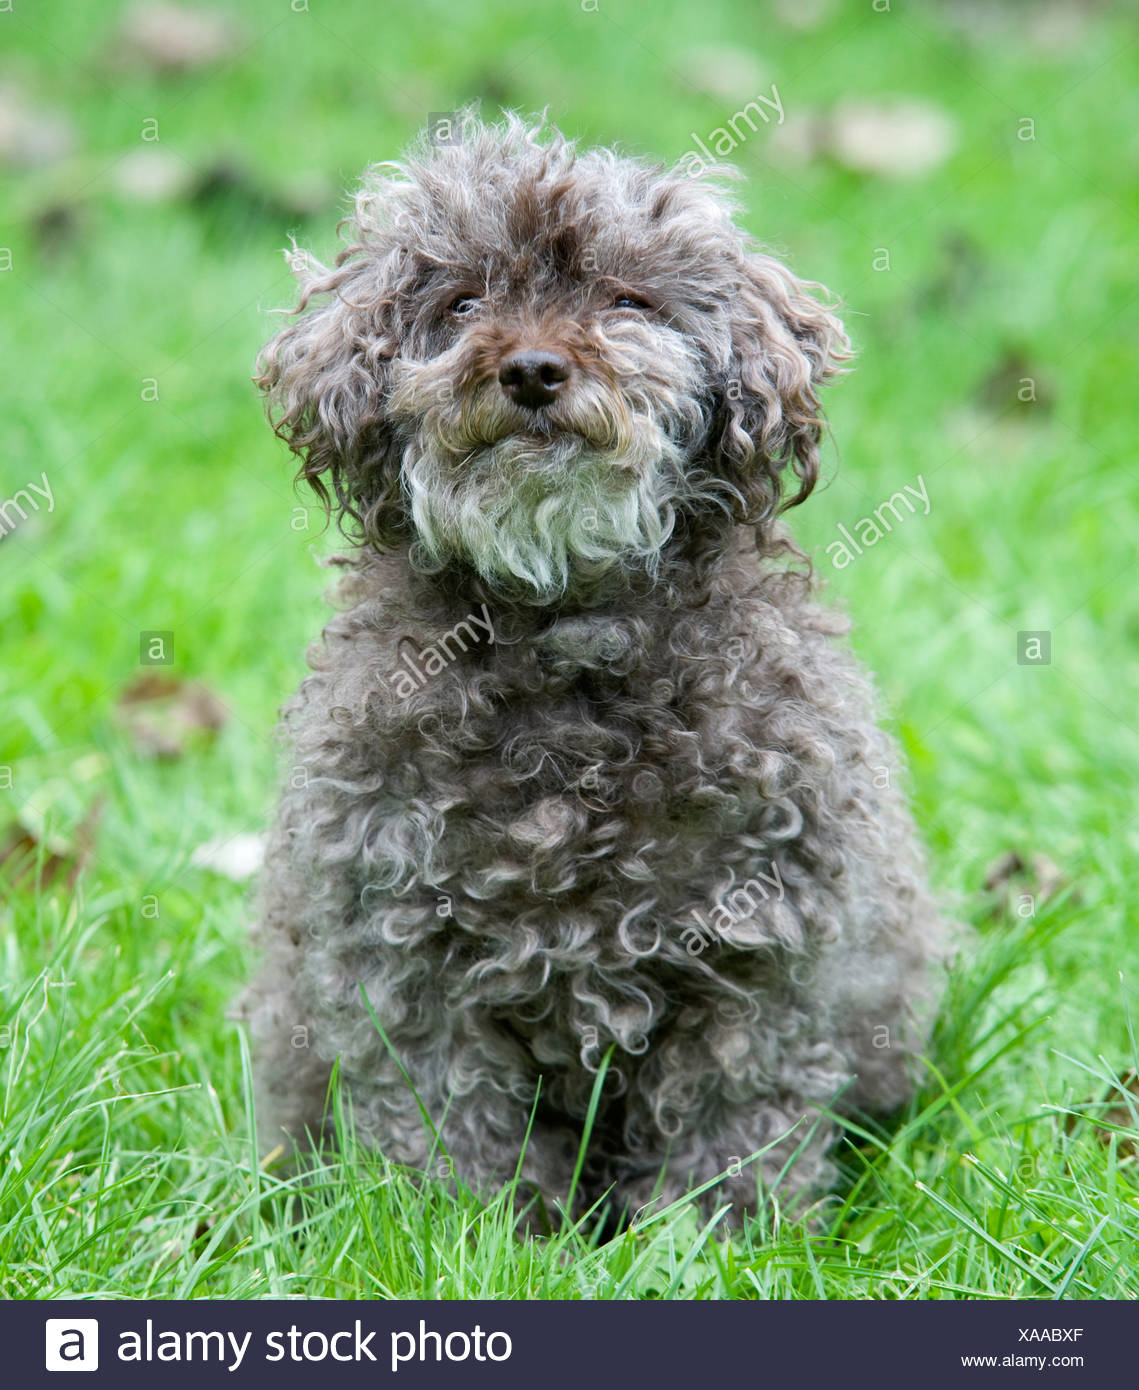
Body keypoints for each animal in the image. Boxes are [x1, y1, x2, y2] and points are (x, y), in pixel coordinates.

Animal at [244, 113, 951, 1223]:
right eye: (462, 303)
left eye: (625, 302)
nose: (532, 368)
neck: (569, 633)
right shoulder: (401, 962)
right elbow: (445, 1123)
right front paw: (472, 1234)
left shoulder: (759, 953)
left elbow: (731, 1121)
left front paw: (714, 1237)